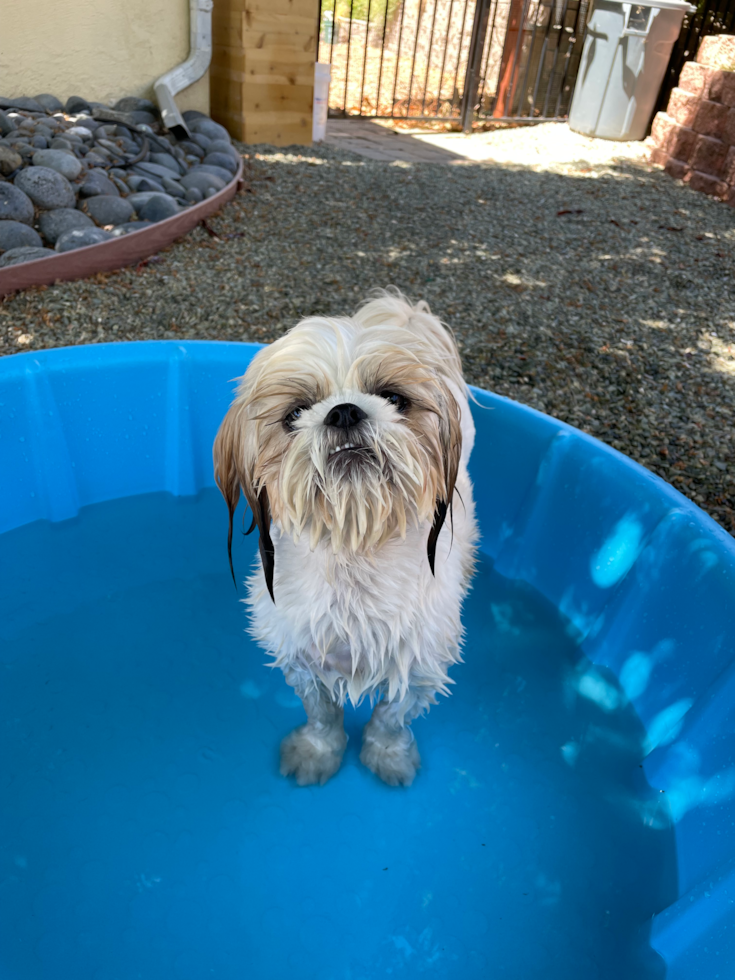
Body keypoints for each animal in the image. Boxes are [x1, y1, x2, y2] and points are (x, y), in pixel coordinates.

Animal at [214, 290, 478, 788]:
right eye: (295, 413)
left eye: (393, 397)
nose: (344, 410)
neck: (354, 552)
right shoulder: (302, 660)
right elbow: (322, 714)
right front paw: (316, 753)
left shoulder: (419, 668)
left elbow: (391, 717)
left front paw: (388, 756)